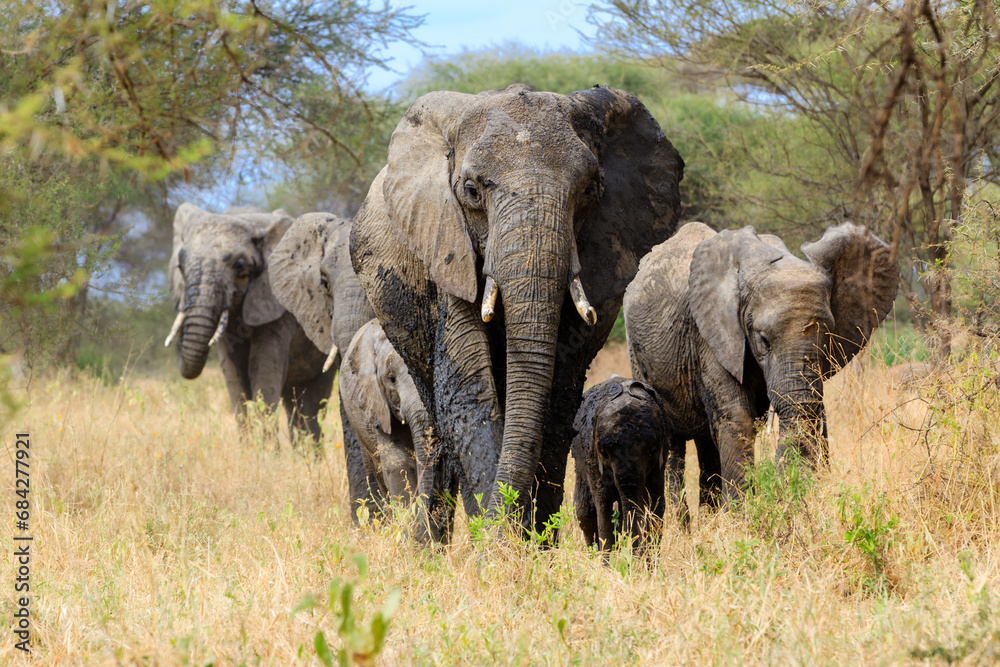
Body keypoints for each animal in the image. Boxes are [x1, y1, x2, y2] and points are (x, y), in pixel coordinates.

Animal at [166, 204, 334, 444]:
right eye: (180, 266)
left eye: (240, 267)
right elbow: (234, 380)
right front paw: (249, 448)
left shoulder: (277, 306)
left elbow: (263, 373)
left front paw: (266, 451)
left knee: (313, 402)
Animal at [571, 375, 679, 557]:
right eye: (604, 453)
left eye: (653, 450)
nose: (633, 555)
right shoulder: (592, 458)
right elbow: (604, 506)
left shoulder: (660, 461)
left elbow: (655, 504)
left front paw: (648, 562)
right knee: (585, 513)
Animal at [623, 221, 899, 504]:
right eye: (763, 339)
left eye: (828, 336)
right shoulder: (711, 334)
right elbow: (737, 419)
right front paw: (742, 512)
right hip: (638, 353)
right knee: (672, 443)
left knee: (706, 441)